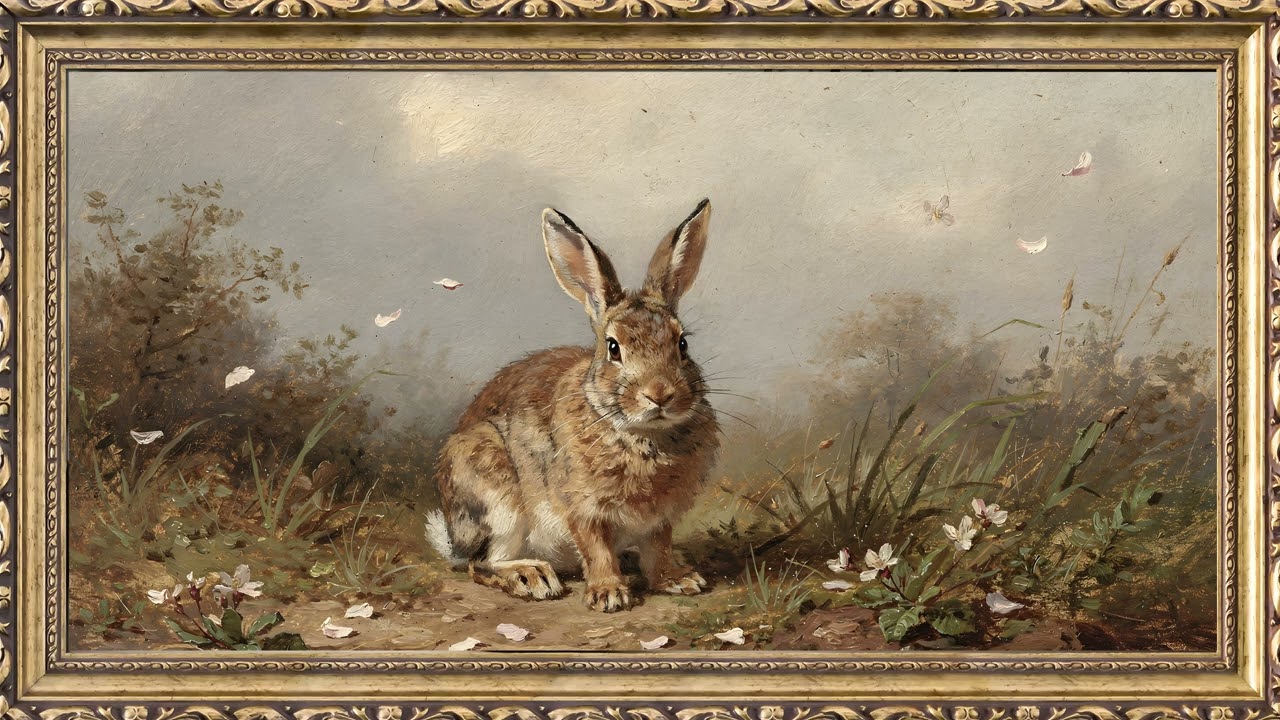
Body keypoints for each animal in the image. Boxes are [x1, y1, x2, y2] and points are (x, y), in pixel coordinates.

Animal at [425, 199, 719, 612]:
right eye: (613, 347)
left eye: (682, 344)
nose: (659, 394)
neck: (642, 434)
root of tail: (454, 536)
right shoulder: (581, 507)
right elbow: (596, 549)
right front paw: (609, 594)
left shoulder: (659, 520)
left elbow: (658, 549)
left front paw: (676, 579)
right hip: (493, 490)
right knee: (481, 563)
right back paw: (530, 576)